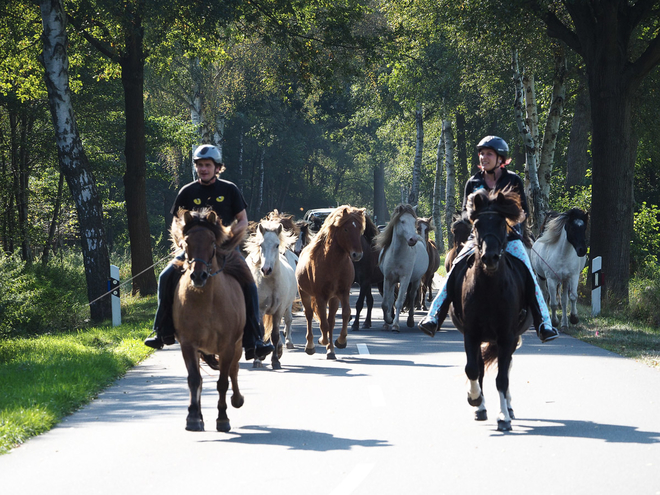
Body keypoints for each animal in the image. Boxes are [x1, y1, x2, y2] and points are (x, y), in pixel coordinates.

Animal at [171, 207, 249, 432]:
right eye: (186, 242)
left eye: (212, 242)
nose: (198, 276)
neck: (206, 302)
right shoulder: (188, 345)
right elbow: (194, 380)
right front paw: (193, 417)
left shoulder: (227, 346)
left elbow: (223, 381)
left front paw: (222, 418)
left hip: (238, 345)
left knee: (234, 370)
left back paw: (237, 400)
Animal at [246, 221, 298, 368]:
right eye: (261, 245)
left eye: (276, 245)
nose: (266, 269)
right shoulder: (260, 310)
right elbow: (261, 332)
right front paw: (257, 359)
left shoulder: (278, 310)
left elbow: (274, 334)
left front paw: (275, 360)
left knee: (287, 321)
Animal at [296, 205, 366, 360]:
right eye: (346, 229)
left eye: (360, 228)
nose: (357, 255)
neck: (333, 263)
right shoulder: (320, 296)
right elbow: (323, 322)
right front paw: (323, 340)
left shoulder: (343, 293)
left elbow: (345, 314)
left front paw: (340, 341)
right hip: (304, 293)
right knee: (309, 315)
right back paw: (310, 345)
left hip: (333, 299)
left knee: (331, 320)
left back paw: (331, 350)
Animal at [374, 203, 430, 332]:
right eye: (402, 221)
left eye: (414, 221)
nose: (413, 239)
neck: (397, 255)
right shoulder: (388, 278)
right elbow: (386, 303)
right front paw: (388, 320)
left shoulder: (405, 279)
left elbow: (399, 302)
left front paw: (395, 325)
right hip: (394, 281)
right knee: (391, 299)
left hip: (416, 280)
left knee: (412, 296)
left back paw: (410, 321)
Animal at [436, 188, 540, 432]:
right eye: (477, 225)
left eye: (502, 224)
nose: (490, 257)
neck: (489, 289)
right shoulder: (471, 334)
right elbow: (473, 369)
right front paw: (475, 400)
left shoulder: (506, 336)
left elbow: (502, 378)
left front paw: (503, 417)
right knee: (482, 367)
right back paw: (481, 406)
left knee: (507, 367)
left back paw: (508, 407)